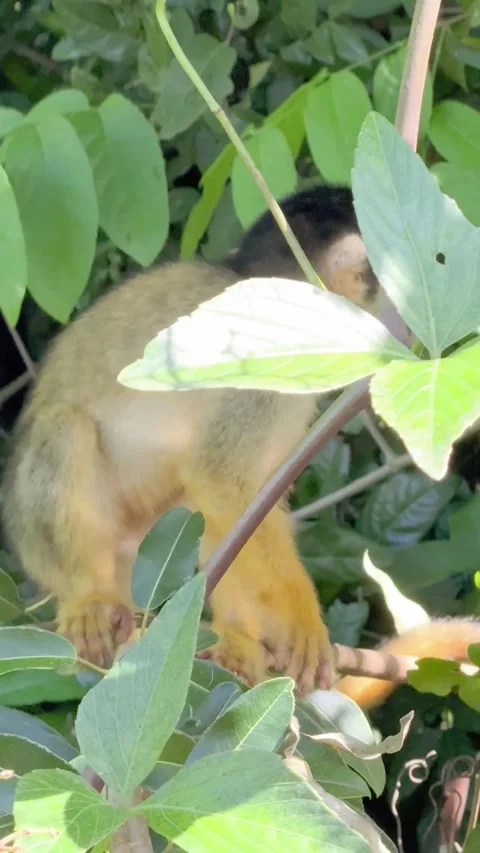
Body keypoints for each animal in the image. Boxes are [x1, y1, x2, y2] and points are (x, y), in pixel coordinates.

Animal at [1, 184, 475, 705]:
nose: (408, 326)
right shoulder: (261, 368)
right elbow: (222, 479)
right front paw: (301, 618)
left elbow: (252, 502)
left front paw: (266, 627)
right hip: (34, 541)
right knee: (66, 429)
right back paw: (87, 595)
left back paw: (231, 636)